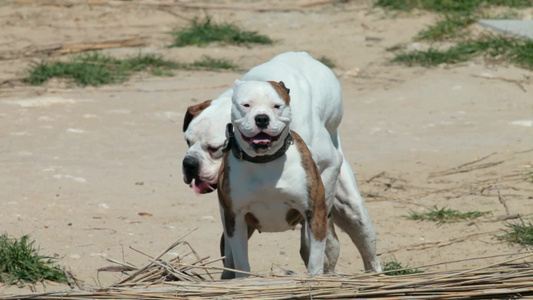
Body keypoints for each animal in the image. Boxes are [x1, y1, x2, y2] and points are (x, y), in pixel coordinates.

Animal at [183, 52, 382, 278]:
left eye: (215, 148)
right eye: (187, 141)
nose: (189, 164)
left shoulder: (328, 169)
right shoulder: (230, 207)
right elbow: (233, 248)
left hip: (353, 210)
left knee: (364, 245)